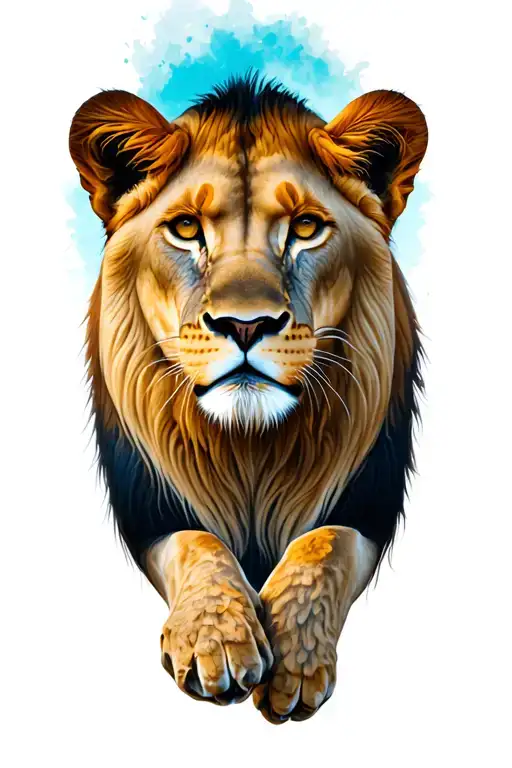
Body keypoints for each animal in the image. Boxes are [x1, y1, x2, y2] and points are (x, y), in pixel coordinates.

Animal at [69, 73, 427, 723]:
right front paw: (217, 640)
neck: (250, 447)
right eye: (186, 229)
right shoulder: (150, 511)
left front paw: (294, 660)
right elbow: (199, 542)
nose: (244, 324)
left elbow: (323, 543)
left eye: (306, 228)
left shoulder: (368, 504)